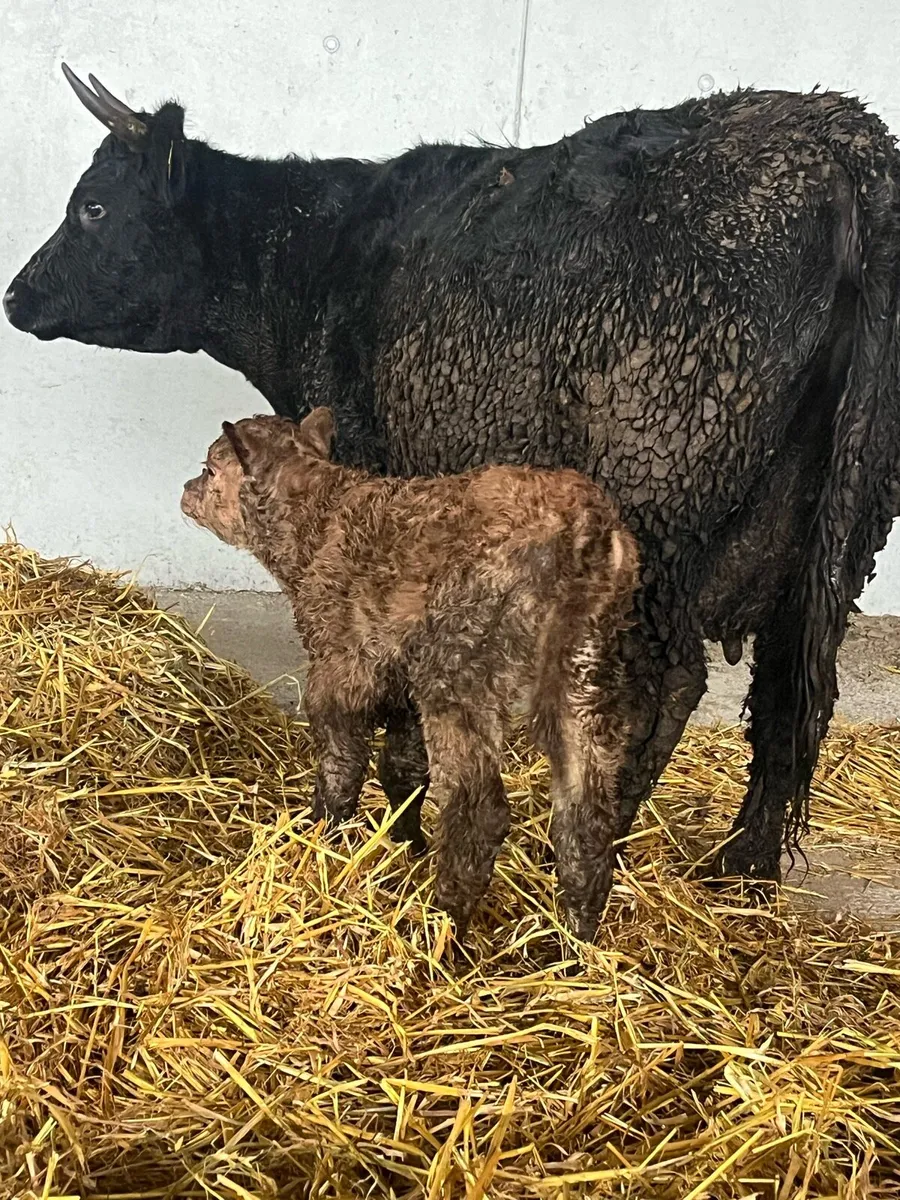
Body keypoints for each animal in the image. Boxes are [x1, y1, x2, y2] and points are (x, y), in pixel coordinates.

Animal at [6, 66, 900, 885]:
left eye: (92, 206)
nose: (16, 296)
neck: (317, 261)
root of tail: (840, 140)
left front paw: (384, 824)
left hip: (658, 505)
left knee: (667, 687)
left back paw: (583, 867)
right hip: (833, 538)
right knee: (789, 694)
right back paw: (742, 870)